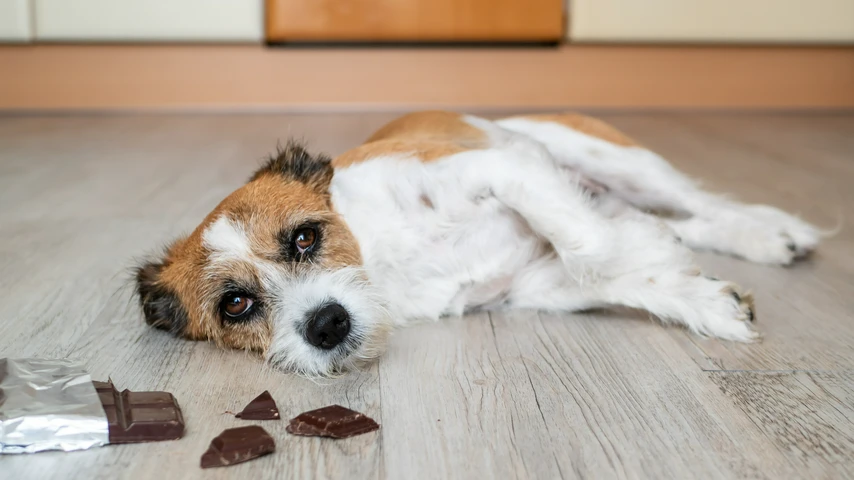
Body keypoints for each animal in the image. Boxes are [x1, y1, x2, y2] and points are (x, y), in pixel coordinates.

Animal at [135, 110, 824, 376]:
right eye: (236, 305)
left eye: (305, 237)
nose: (326, 325)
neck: (383, 256)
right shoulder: (531, 285)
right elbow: (605, 270)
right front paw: (700, 298)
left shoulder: (504, 166)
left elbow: (589, 246)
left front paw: (646, 254)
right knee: (683, 220)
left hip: (614, 159)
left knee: (701, 204)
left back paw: (773, 232)